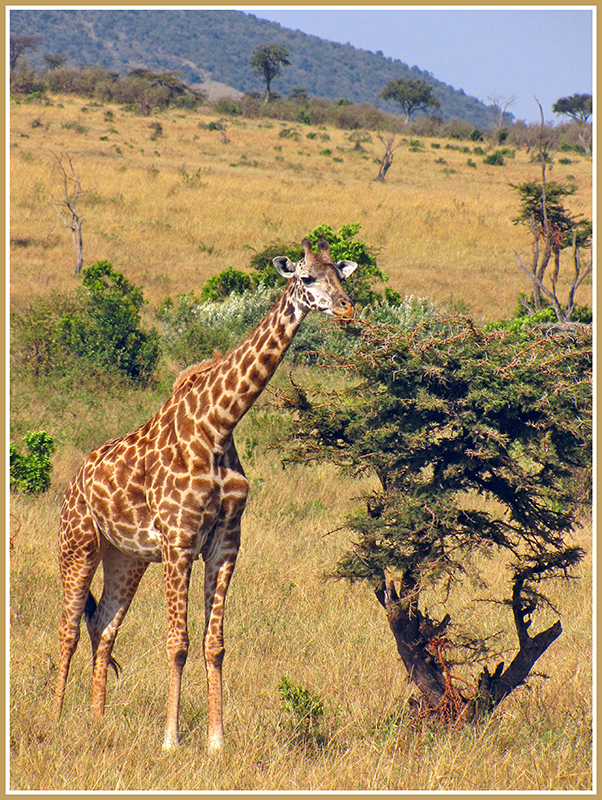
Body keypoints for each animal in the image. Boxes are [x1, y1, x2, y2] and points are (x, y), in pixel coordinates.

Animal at [54, 236, 354, 752]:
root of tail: (72, 485)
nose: (347, 309)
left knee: (103, 625)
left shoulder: (226, 543)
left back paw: (97, 721)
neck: (219, 424)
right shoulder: (179, 540)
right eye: (306, 277)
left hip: (125, 557)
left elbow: (215, 645)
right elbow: (178, 644)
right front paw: (171, 740)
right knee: (69, 628)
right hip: (79, 547)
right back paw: (54, 721)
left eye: (341, 274)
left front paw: (217, 739)